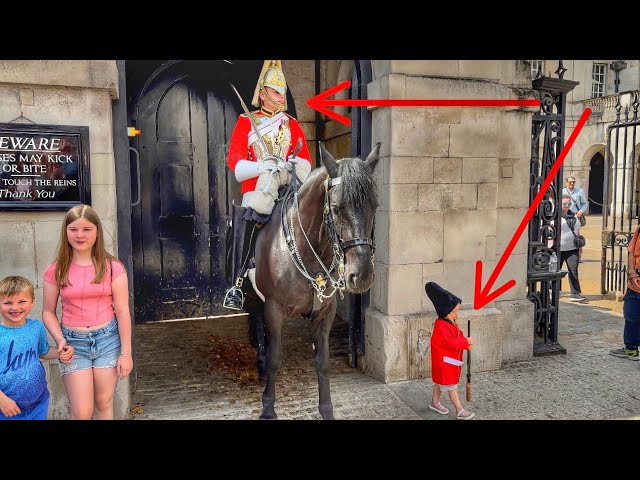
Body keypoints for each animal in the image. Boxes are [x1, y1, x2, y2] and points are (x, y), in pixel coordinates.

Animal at [248, 141, 380, 418]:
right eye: (337, 207)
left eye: (375, 205)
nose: (361, 276)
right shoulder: (273, 308)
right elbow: (276, 358)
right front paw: (268, 407)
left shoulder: (325, 312)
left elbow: (323, 362)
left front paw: (326, 408)